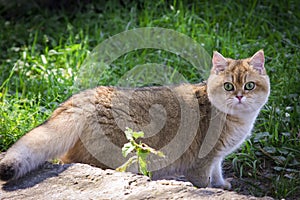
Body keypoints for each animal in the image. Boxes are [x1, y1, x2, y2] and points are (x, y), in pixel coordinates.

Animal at [0, 50, 270, 189]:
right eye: (228, 86)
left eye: (249, 85)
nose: (239, 96)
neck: (238, 119)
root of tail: (88, 96)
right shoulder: (203, 161)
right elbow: (204, 181)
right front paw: (213, 189)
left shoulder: (217, 158)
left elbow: (218, 172)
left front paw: (222, 185)